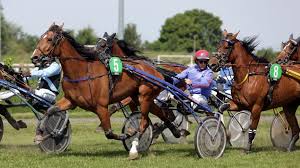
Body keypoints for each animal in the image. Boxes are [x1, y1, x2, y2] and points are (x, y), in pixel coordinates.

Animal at [32, 23, 183, 159]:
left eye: (50, 39)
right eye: (41, 38)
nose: (34, 57)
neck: (81, 72)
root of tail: (155, 70)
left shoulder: (101, 106)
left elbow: (109, 132)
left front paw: (127, 134)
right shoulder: (71, 101)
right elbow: (50, 110)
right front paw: (40, 133)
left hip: (145, 96)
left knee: (144, 123)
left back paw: (134, 149)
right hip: (140, 97)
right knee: (162, 113)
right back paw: (175, 131)